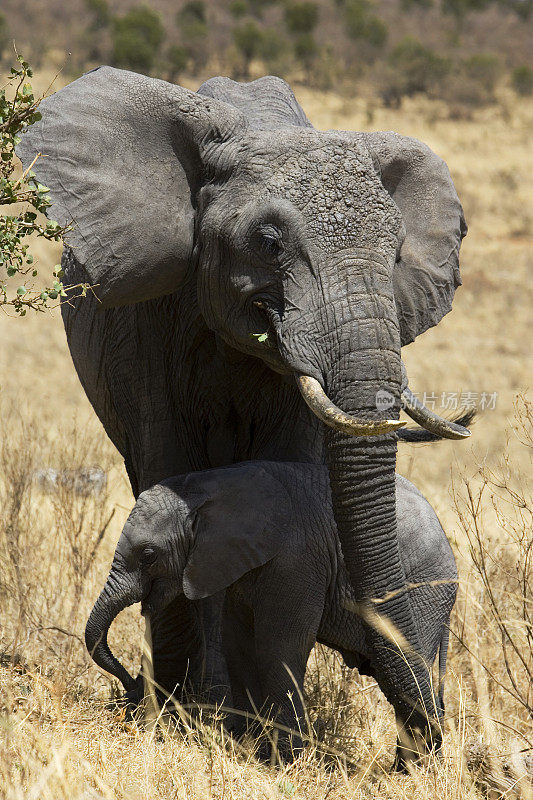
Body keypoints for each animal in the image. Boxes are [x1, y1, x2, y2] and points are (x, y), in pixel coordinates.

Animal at [85, 460, 456, 760]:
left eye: (148, 555)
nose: (130, 687)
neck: (206, 484)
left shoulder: (296, 560)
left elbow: (278, 648)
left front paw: (284, 763)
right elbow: (238, 643)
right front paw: (250, 748)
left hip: (424, 591)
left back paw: (412, 771)